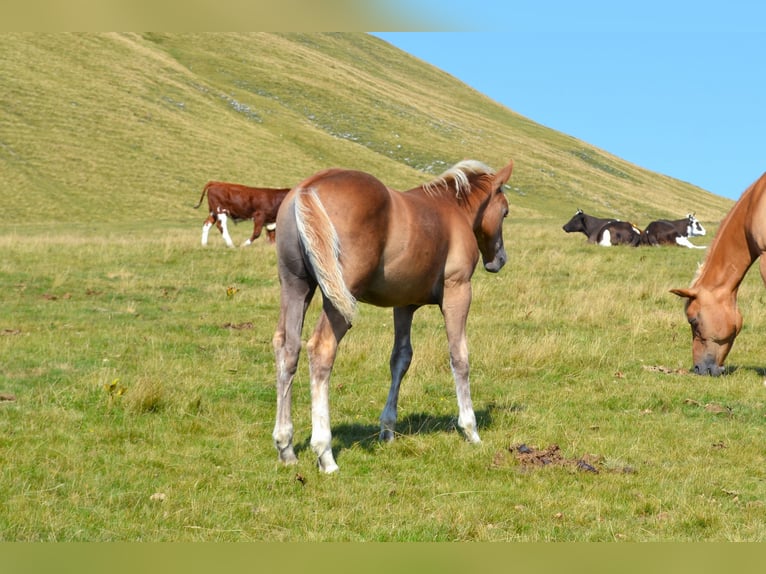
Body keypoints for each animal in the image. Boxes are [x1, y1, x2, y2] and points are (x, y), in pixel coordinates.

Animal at [272, 158, 514, 473]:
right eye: (505, 211)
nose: (499, 260)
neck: (452, 209)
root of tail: (307, 188)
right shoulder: (458, 290)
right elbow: (459, 357)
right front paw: (470, 429)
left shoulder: (404, 305)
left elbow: (400, 359)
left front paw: (387, 429)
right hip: (338, 295)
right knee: (322, 348)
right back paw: (325, 452)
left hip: (297, 286)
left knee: (288, 348)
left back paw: (285, 446)